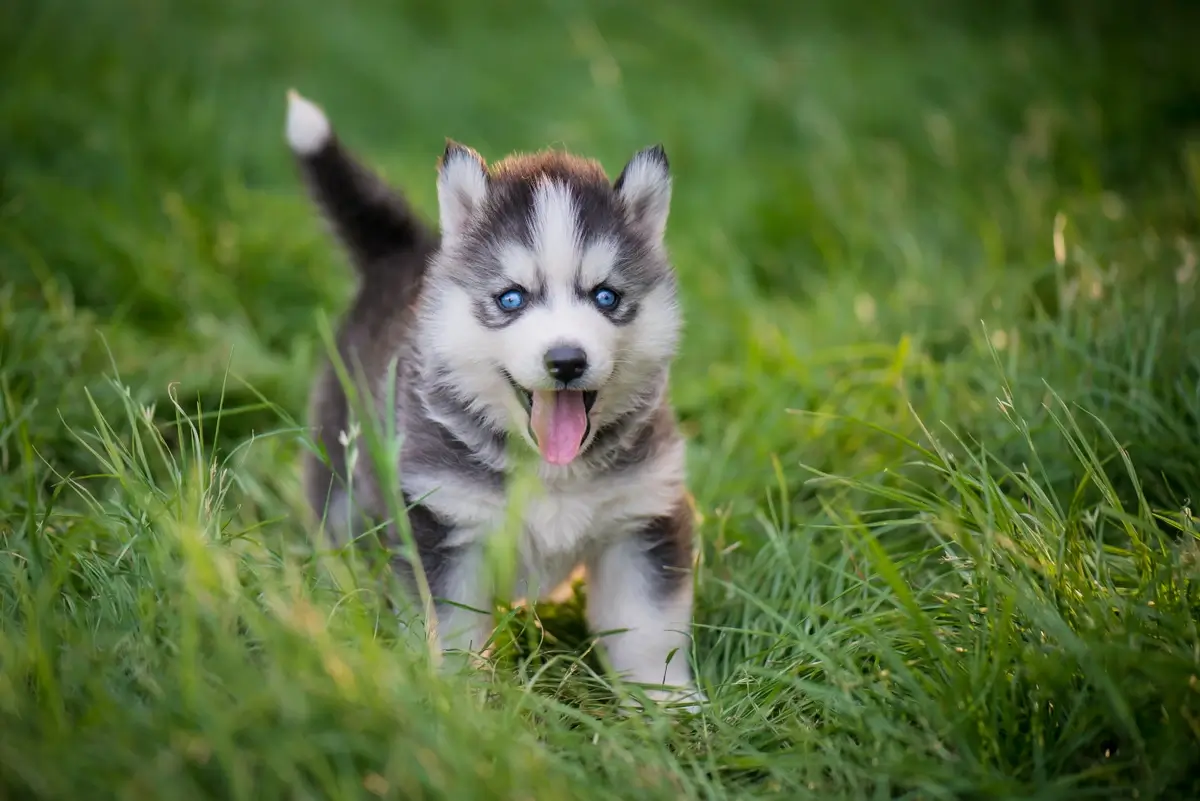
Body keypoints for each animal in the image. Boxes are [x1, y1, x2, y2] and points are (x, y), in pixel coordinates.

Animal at [286, 89, 700, 705]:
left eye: (606, 296)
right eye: (511, 298)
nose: (566, 360)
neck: (552, 469)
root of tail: (407, 255)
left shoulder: (643, 516)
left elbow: (648, 629)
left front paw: (668, 705)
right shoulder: (440, 523)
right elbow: (451, 628)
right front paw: (456, 700)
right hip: (342, 470)